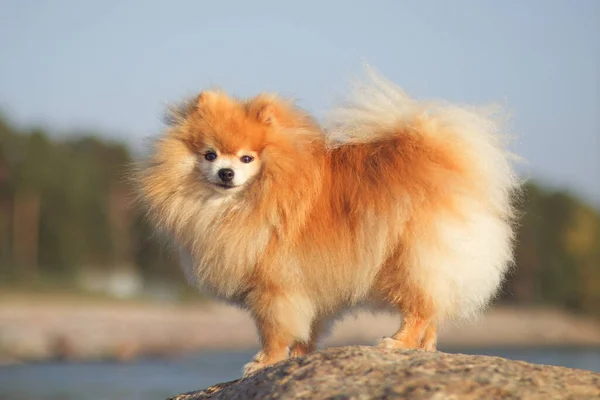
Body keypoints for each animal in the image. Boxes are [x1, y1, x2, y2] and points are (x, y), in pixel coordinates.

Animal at [134, 70, 516, 376]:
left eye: (246, 158)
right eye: (210, 154)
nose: (226, 173)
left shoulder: (275, 288)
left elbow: (274, 332)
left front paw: (265, 362)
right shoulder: (309, 283)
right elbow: (309, 328)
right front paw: (300, 358)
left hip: (410, 259)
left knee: (420, 308)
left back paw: (397, 343)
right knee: (435, 308)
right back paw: (425, 350)